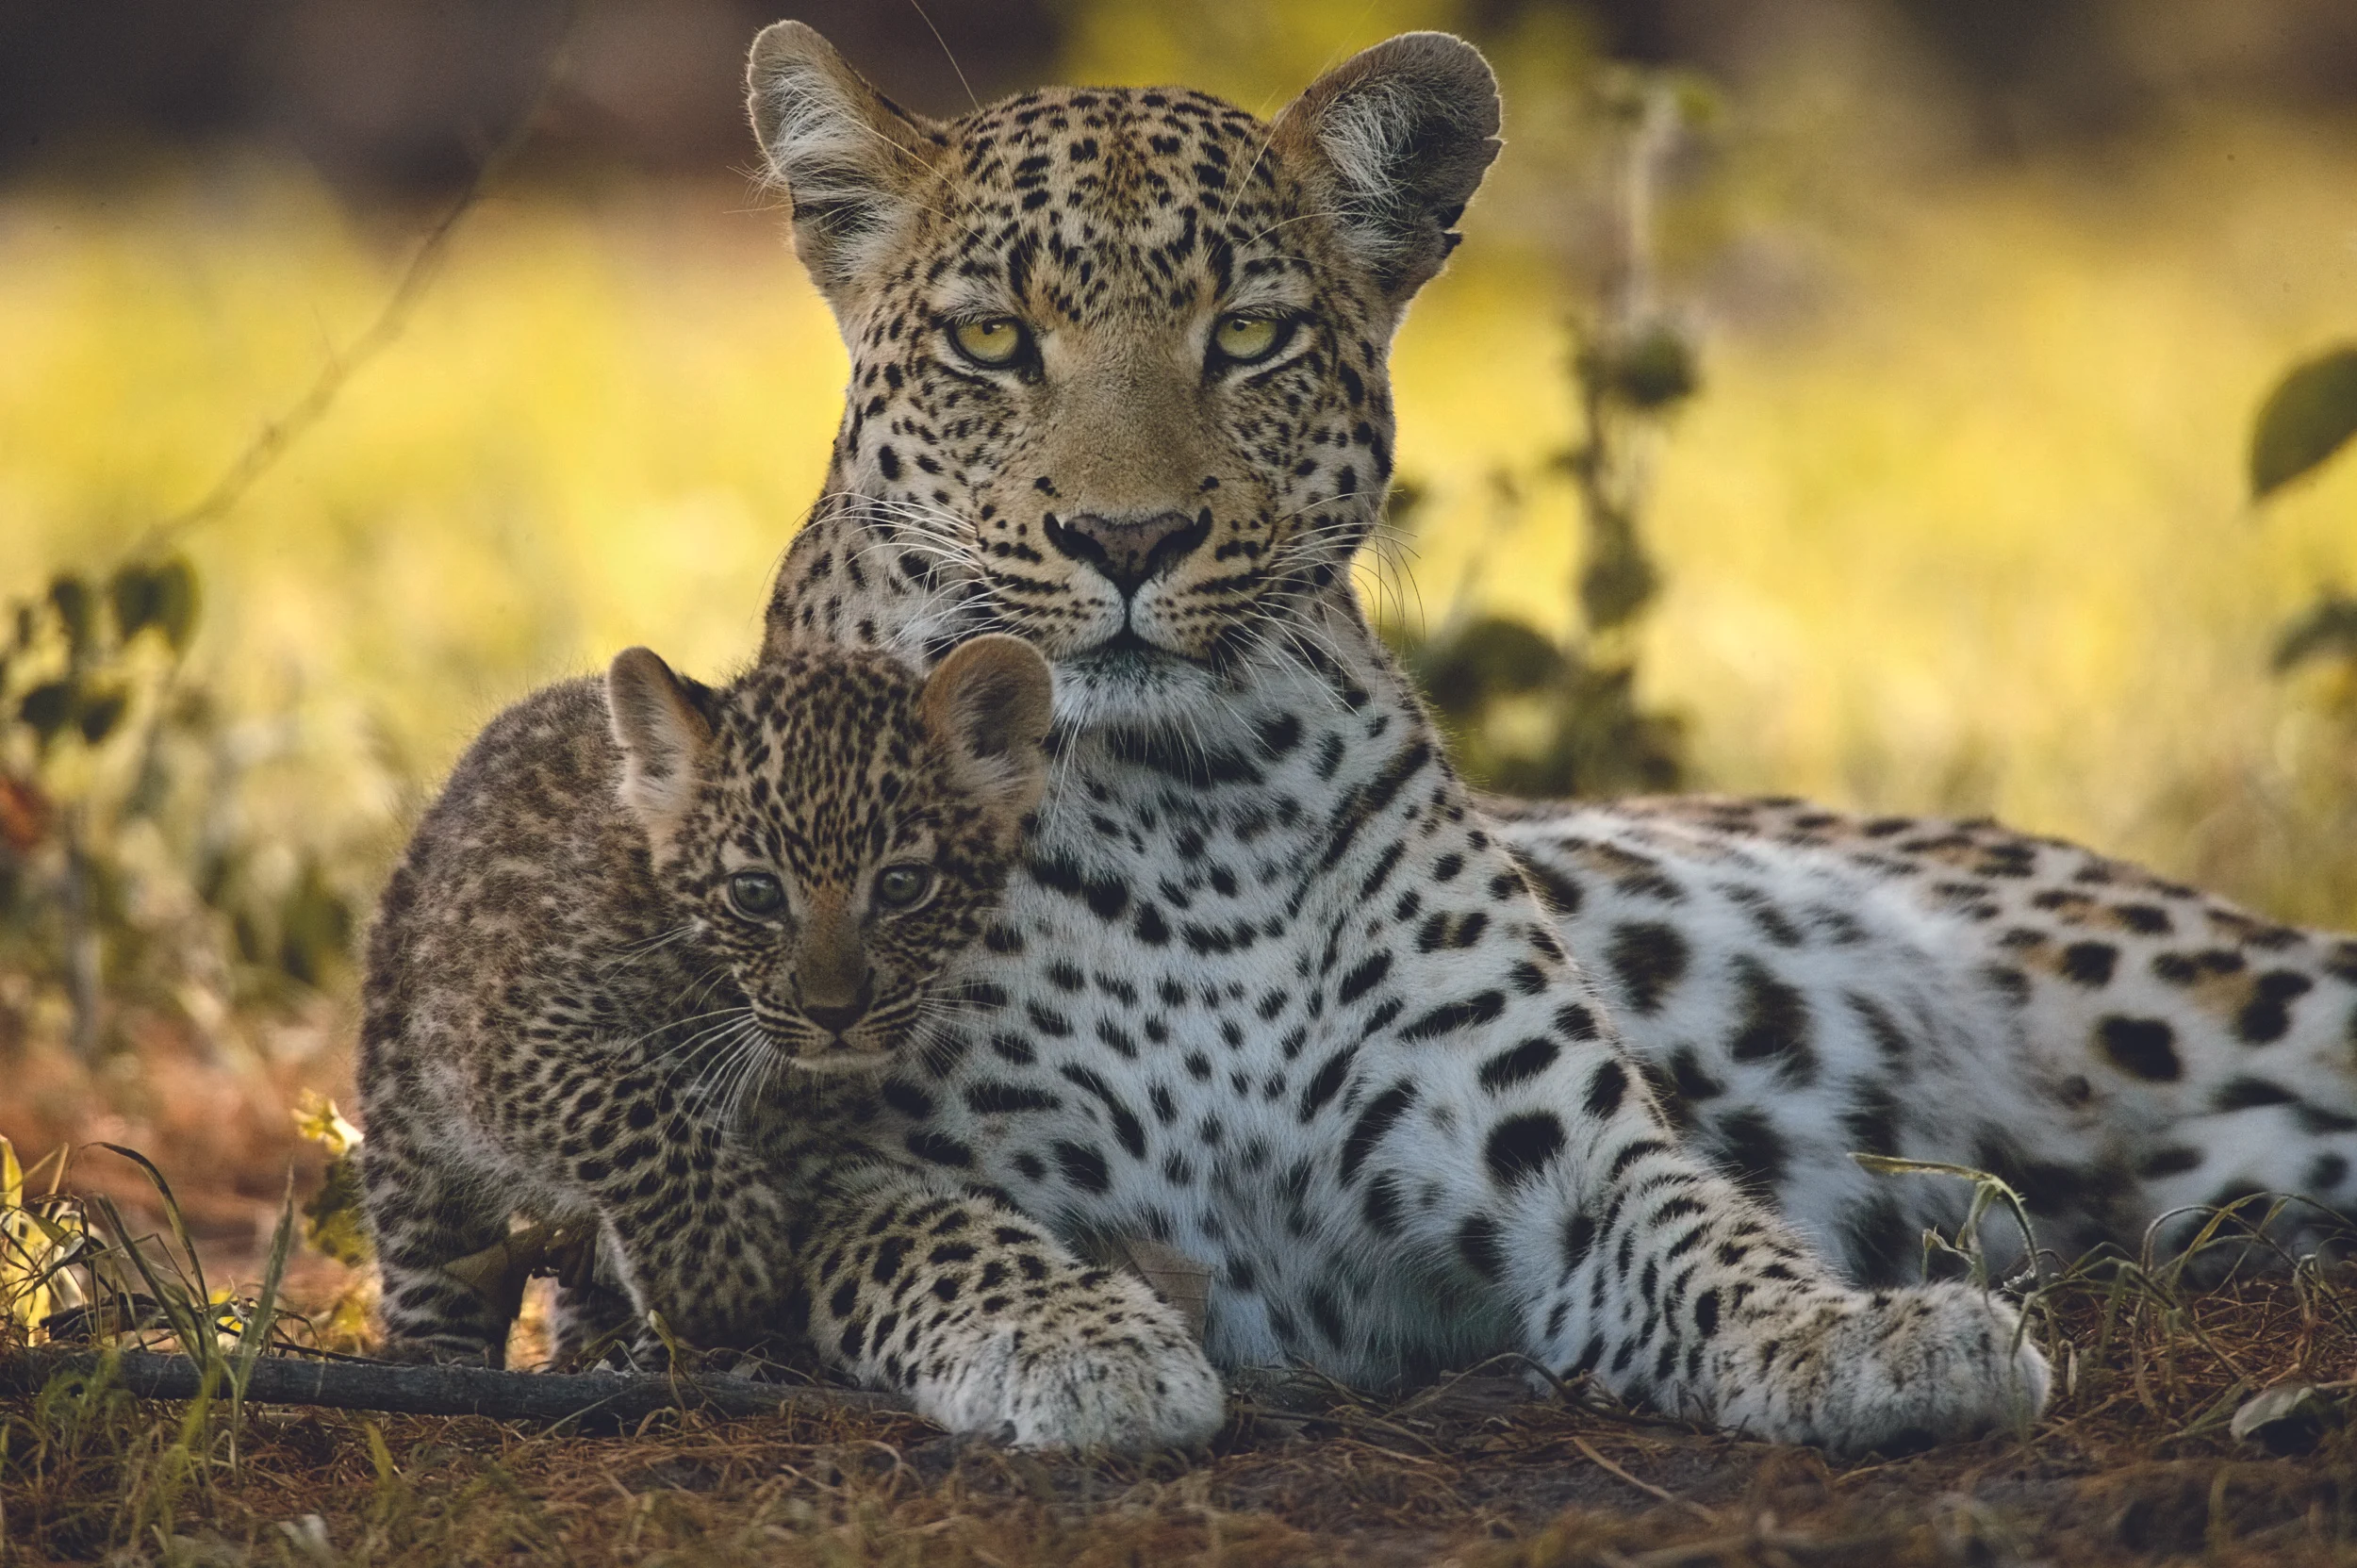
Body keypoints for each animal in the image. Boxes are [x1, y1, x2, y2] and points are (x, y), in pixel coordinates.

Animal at [355, 632, 1226, 1449]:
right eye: (755, 892)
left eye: (904, 884)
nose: (834, 1010)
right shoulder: (504, 1035)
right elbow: (630, 1105)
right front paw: (720, 1268)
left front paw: (690, 1328)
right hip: (405, 1089)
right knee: (427, 1248)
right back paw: (440, 1369)